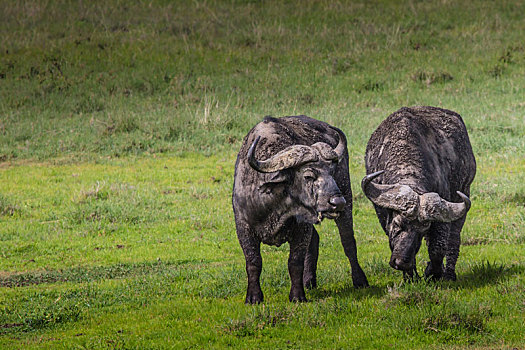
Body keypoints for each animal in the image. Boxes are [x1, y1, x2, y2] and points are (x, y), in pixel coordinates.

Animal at [231, 115, 366, 304]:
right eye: (308, 175)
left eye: (332, 172)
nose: (337, 201)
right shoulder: (243, 227)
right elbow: (253, 261)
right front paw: (253, 296)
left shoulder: (302, 228)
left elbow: (295, 262)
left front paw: (297, 295)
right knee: (316, 240)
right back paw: (309, 281)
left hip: (347, 200)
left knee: (348, 242)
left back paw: (359, 280)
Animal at [360, 106, 474, 282]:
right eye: (398, 224)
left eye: (421, 230)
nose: (401, 262)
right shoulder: (381, 212)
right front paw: (410, 277)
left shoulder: (442, 210)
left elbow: (438, 247)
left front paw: (432, 273)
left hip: (463, 193)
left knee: (454, 239)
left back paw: (449, 274)